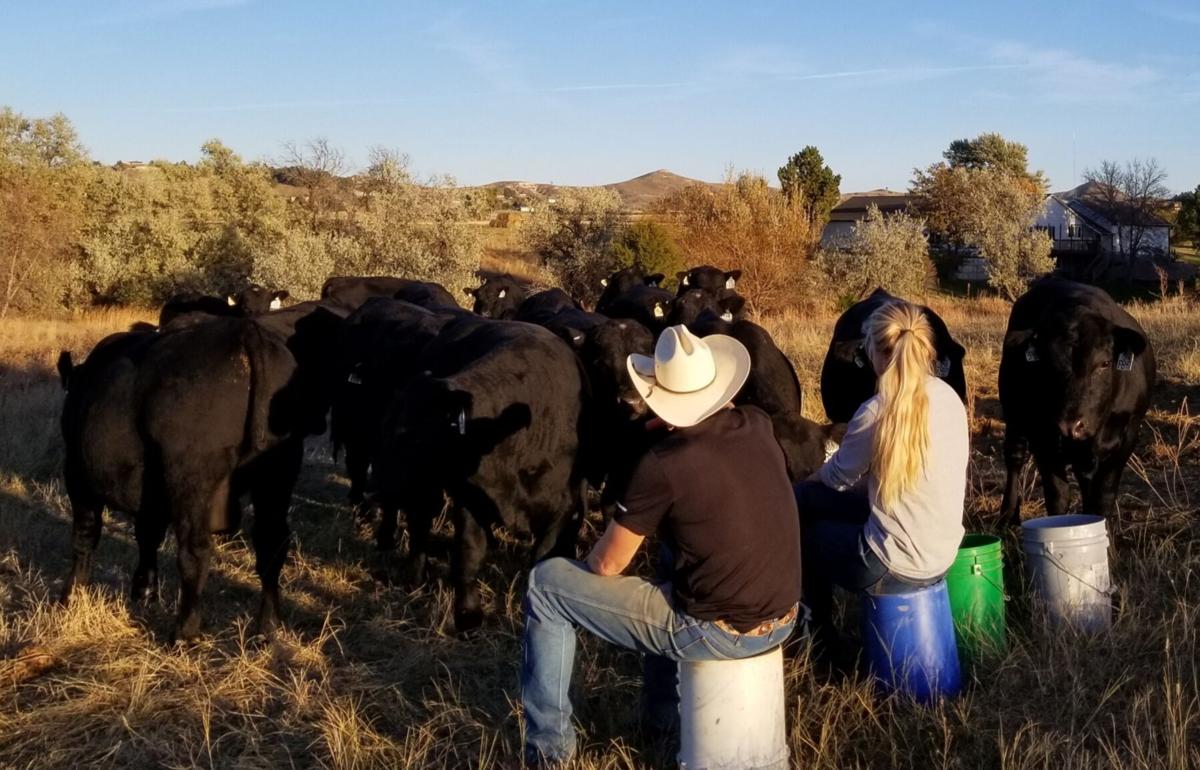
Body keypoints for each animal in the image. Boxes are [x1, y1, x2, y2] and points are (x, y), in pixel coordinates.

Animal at [58, 302, 345, 638]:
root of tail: (245, 331)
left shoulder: (77, 474)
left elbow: (85, 536)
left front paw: (71, 595)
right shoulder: (151, 492)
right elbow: (147, 534)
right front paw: (144, 592)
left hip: (191, 477)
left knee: (195, 552)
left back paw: (185, 632)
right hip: (278, 471)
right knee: (272, 544)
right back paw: (268, 625)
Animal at [369, 316, 585, 628]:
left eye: (412, 437)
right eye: (385, 428)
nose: (376, 482)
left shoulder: (562, 506)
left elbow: (542, 557)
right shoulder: (471, 499)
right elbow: (468, 552)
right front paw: (468, 614)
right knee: (418, 523)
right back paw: (408, 571)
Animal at [993, 275, 1152, 522]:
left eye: (1105, 363)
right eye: (1048, 364)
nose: (1071, 426)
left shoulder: (1127, 436)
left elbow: (1103, 498)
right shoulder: (1042, 438)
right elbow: (1058, 496)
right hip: (1014, 413)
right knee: (1014, 456)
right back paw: (1008, 514)